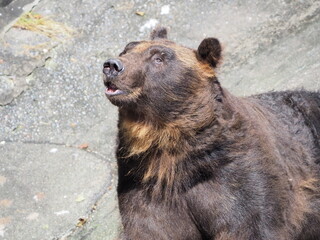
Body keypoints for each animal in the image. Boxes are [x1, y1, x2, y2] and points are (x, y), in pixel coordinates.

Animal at [102, 27, 320, 239]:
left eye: (159, 58)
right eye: (126, 49)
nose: (112, 65)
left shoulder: (236, 173)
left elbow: (250, 222)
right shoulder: (145, 181)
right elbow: (151, 228)